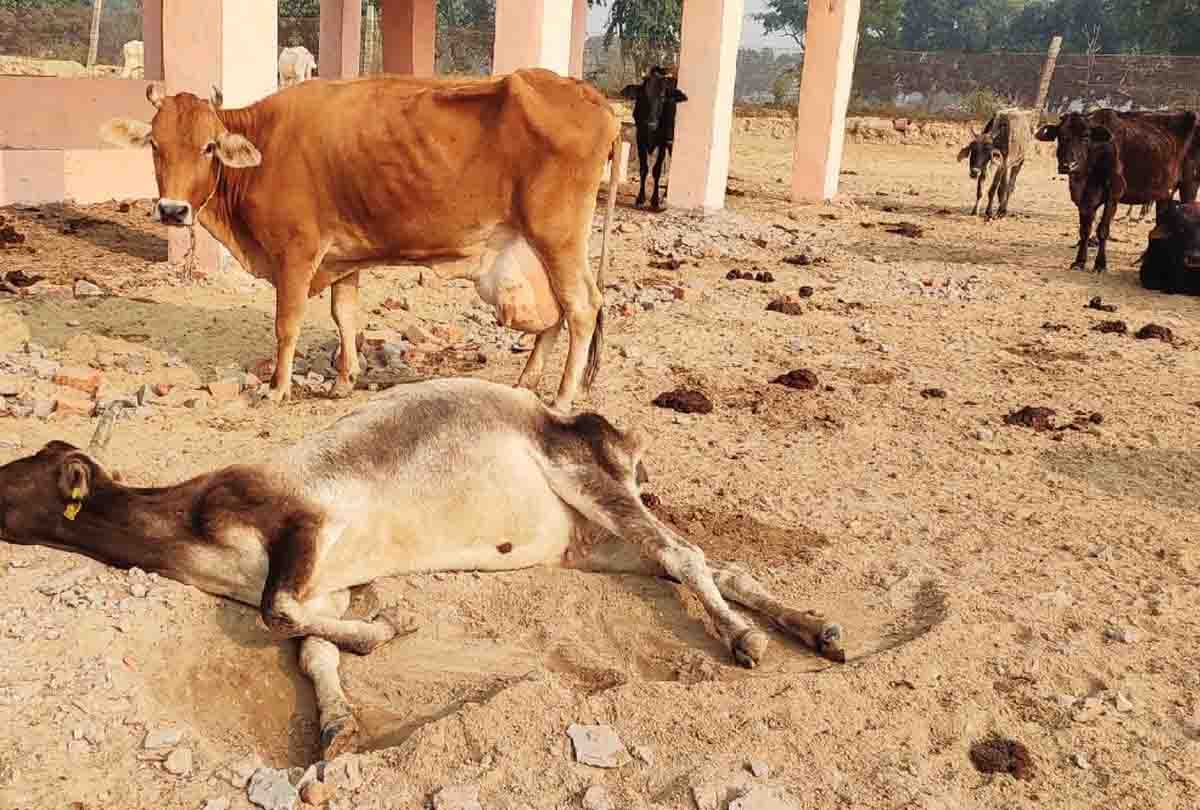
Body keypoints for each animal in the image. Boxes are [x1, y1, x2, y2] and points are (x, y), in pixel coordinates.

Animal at [0, 379, 847, 760]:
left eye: (12, 478)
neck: (186, 518)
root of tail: (586, 422)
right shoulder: (326, 580)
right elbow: (308, 643)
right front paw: (337, 720)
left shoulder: (299, 525)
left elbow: (279, 612)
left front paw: (387, 628)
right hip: (593, 543)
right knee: (717, 565)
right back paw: (818, 630)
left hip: (589, 480)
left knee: (685, 554)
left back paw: (747, 641)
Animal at [100, 70, 621, 412]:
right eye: (155, 145)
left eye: (208, 147)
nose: (172, 210)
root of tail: (593, 97)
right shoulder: (342, 259)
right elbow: (344, 317)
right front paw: (344, 380)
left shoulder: (297, 253)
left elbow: (286, 323)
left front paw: (278, 387)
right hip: (534, 247)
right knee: (555, 315)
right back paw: (525, 382)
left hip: (558, 238)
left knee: (582, 308)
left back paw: (562, 397)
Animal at [621, 67, 688, 210]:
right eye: (644, 96)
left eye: (662, 97)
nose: (650, 124)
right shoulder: (640, 137)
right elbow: (643, 168)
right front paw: (640, 198)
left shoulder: (663, 141)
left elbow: (656, 170)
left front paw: (655, 200)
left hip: (671, 142)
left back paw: (666, 195)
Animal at [1035, 109, 1200, 273]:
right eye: (1061, 135)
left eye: (1086, 136)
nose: (1068, 165)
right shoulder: (1084, 200)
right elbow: (1085, 231)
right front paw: (1079, 262)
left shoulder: (1113, 195)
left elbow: (1103, 230)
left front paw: (1100, 264)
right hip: (1164, 192)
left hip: (1190, 183)